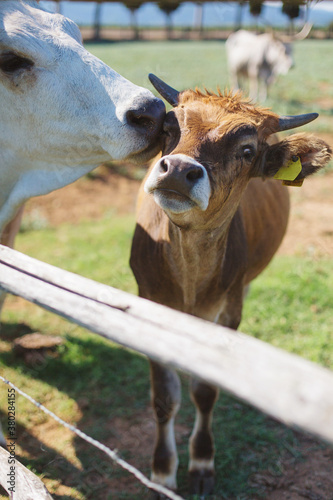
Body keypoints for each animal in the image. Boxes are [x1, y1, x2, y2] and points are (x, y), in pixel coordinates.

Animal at [129, 76, 330, 498]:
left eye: (247, 149)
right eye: (170, 126)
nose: (178, 170)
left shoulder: (226, 310)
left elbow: (205, 391)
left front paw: (202, 462)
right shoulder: (147, 301)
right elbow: (164, 398)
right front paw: (162, 471)